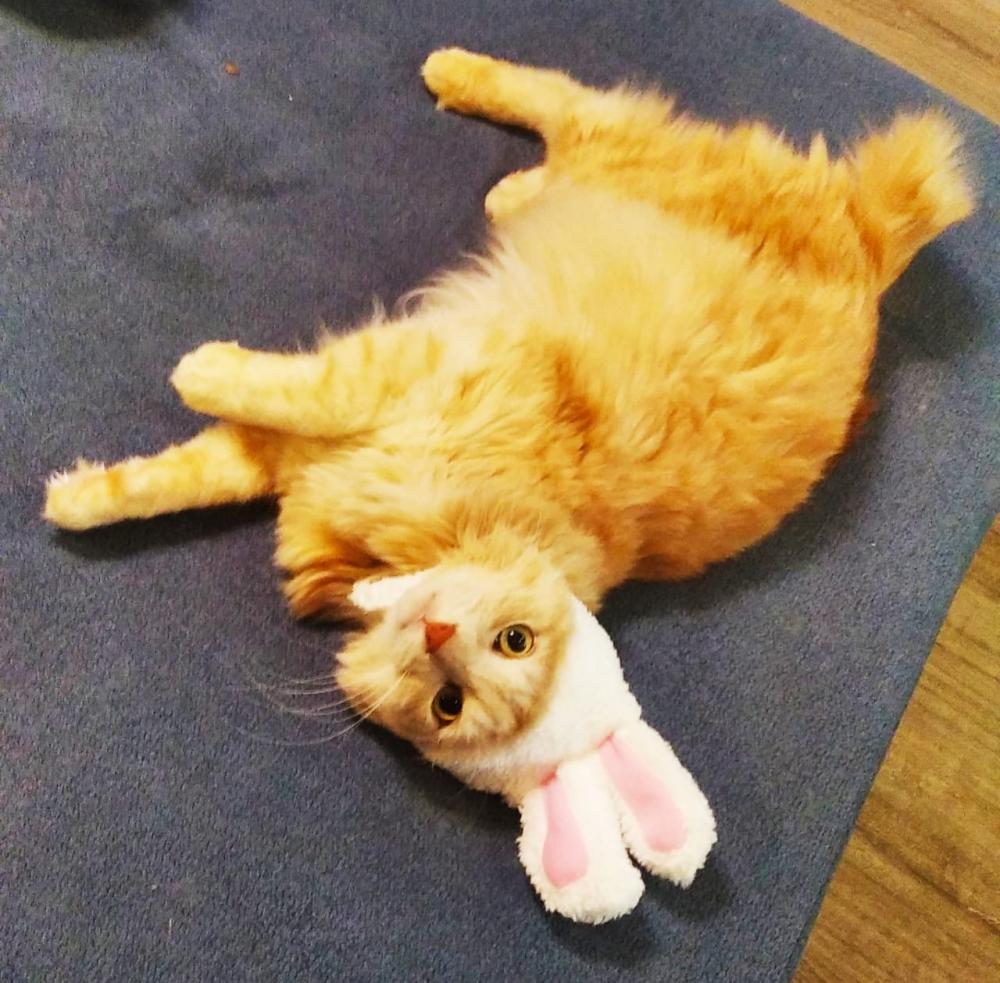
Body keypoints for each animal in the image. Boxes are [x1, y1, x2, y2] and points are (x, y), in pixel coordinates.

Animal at [44, 48, 972, 764]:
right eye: (511, 638)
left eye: (452, 701)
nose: (437, 638)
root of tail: (873, 255)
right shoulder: (408, 372)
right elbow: (244, 416)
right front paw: (173, 395)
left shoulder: (323, 436)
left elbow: (179, 473)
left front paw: (77, 491)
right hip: (618, 153)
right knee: (565, 93)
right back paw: (455, 76)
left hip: (609, 162)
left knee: (572, 115)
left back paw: (505, 181)